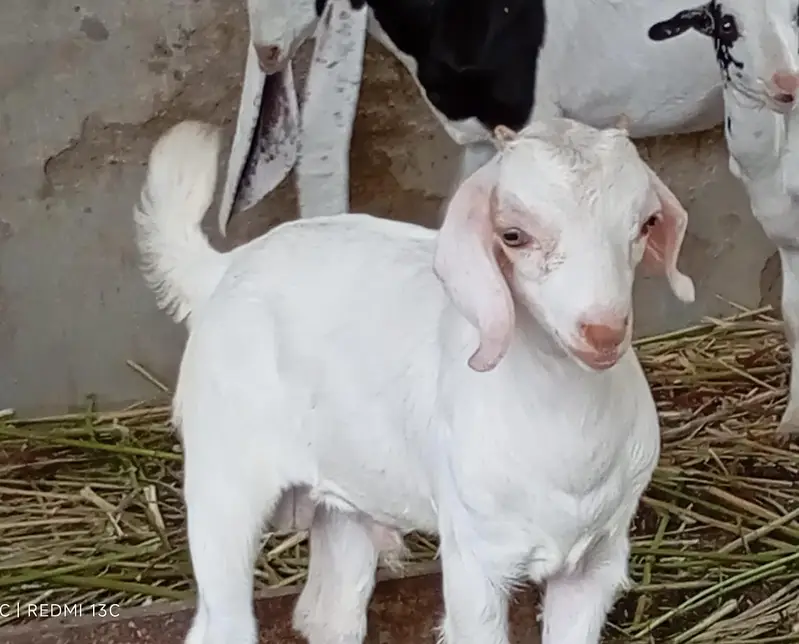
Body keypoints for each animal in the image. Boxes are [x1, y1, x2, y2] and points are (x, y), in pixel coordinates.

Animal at [134, 117, 696, 644]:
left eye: (646, 223)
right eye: (513, 235)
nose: (603, 332)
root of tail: (225, 268)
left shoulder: (598, 561)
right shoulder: (475, 559)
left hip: (348, 497)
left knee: (328, 612)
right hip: (223, 479)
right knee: (221, 622)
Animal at [649, 0, 799, 436]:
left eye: (797, 13)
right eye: (727, 24)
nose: (789, 83)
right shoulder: (786, 237)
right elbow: (793, 318)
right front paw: (792, 420)